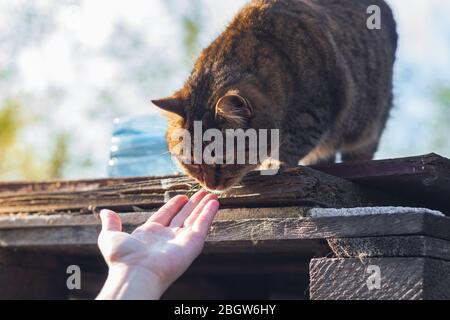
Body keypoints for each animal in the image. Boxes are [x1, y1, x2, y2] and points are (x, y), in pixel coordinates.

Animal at [152, 0, 398, 190]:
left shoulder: (315, 112)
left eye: (225, 158)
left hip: (370, 122)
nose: (210, 186)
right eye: (191, 162)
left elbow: (294, 143)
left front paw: (273, 163)